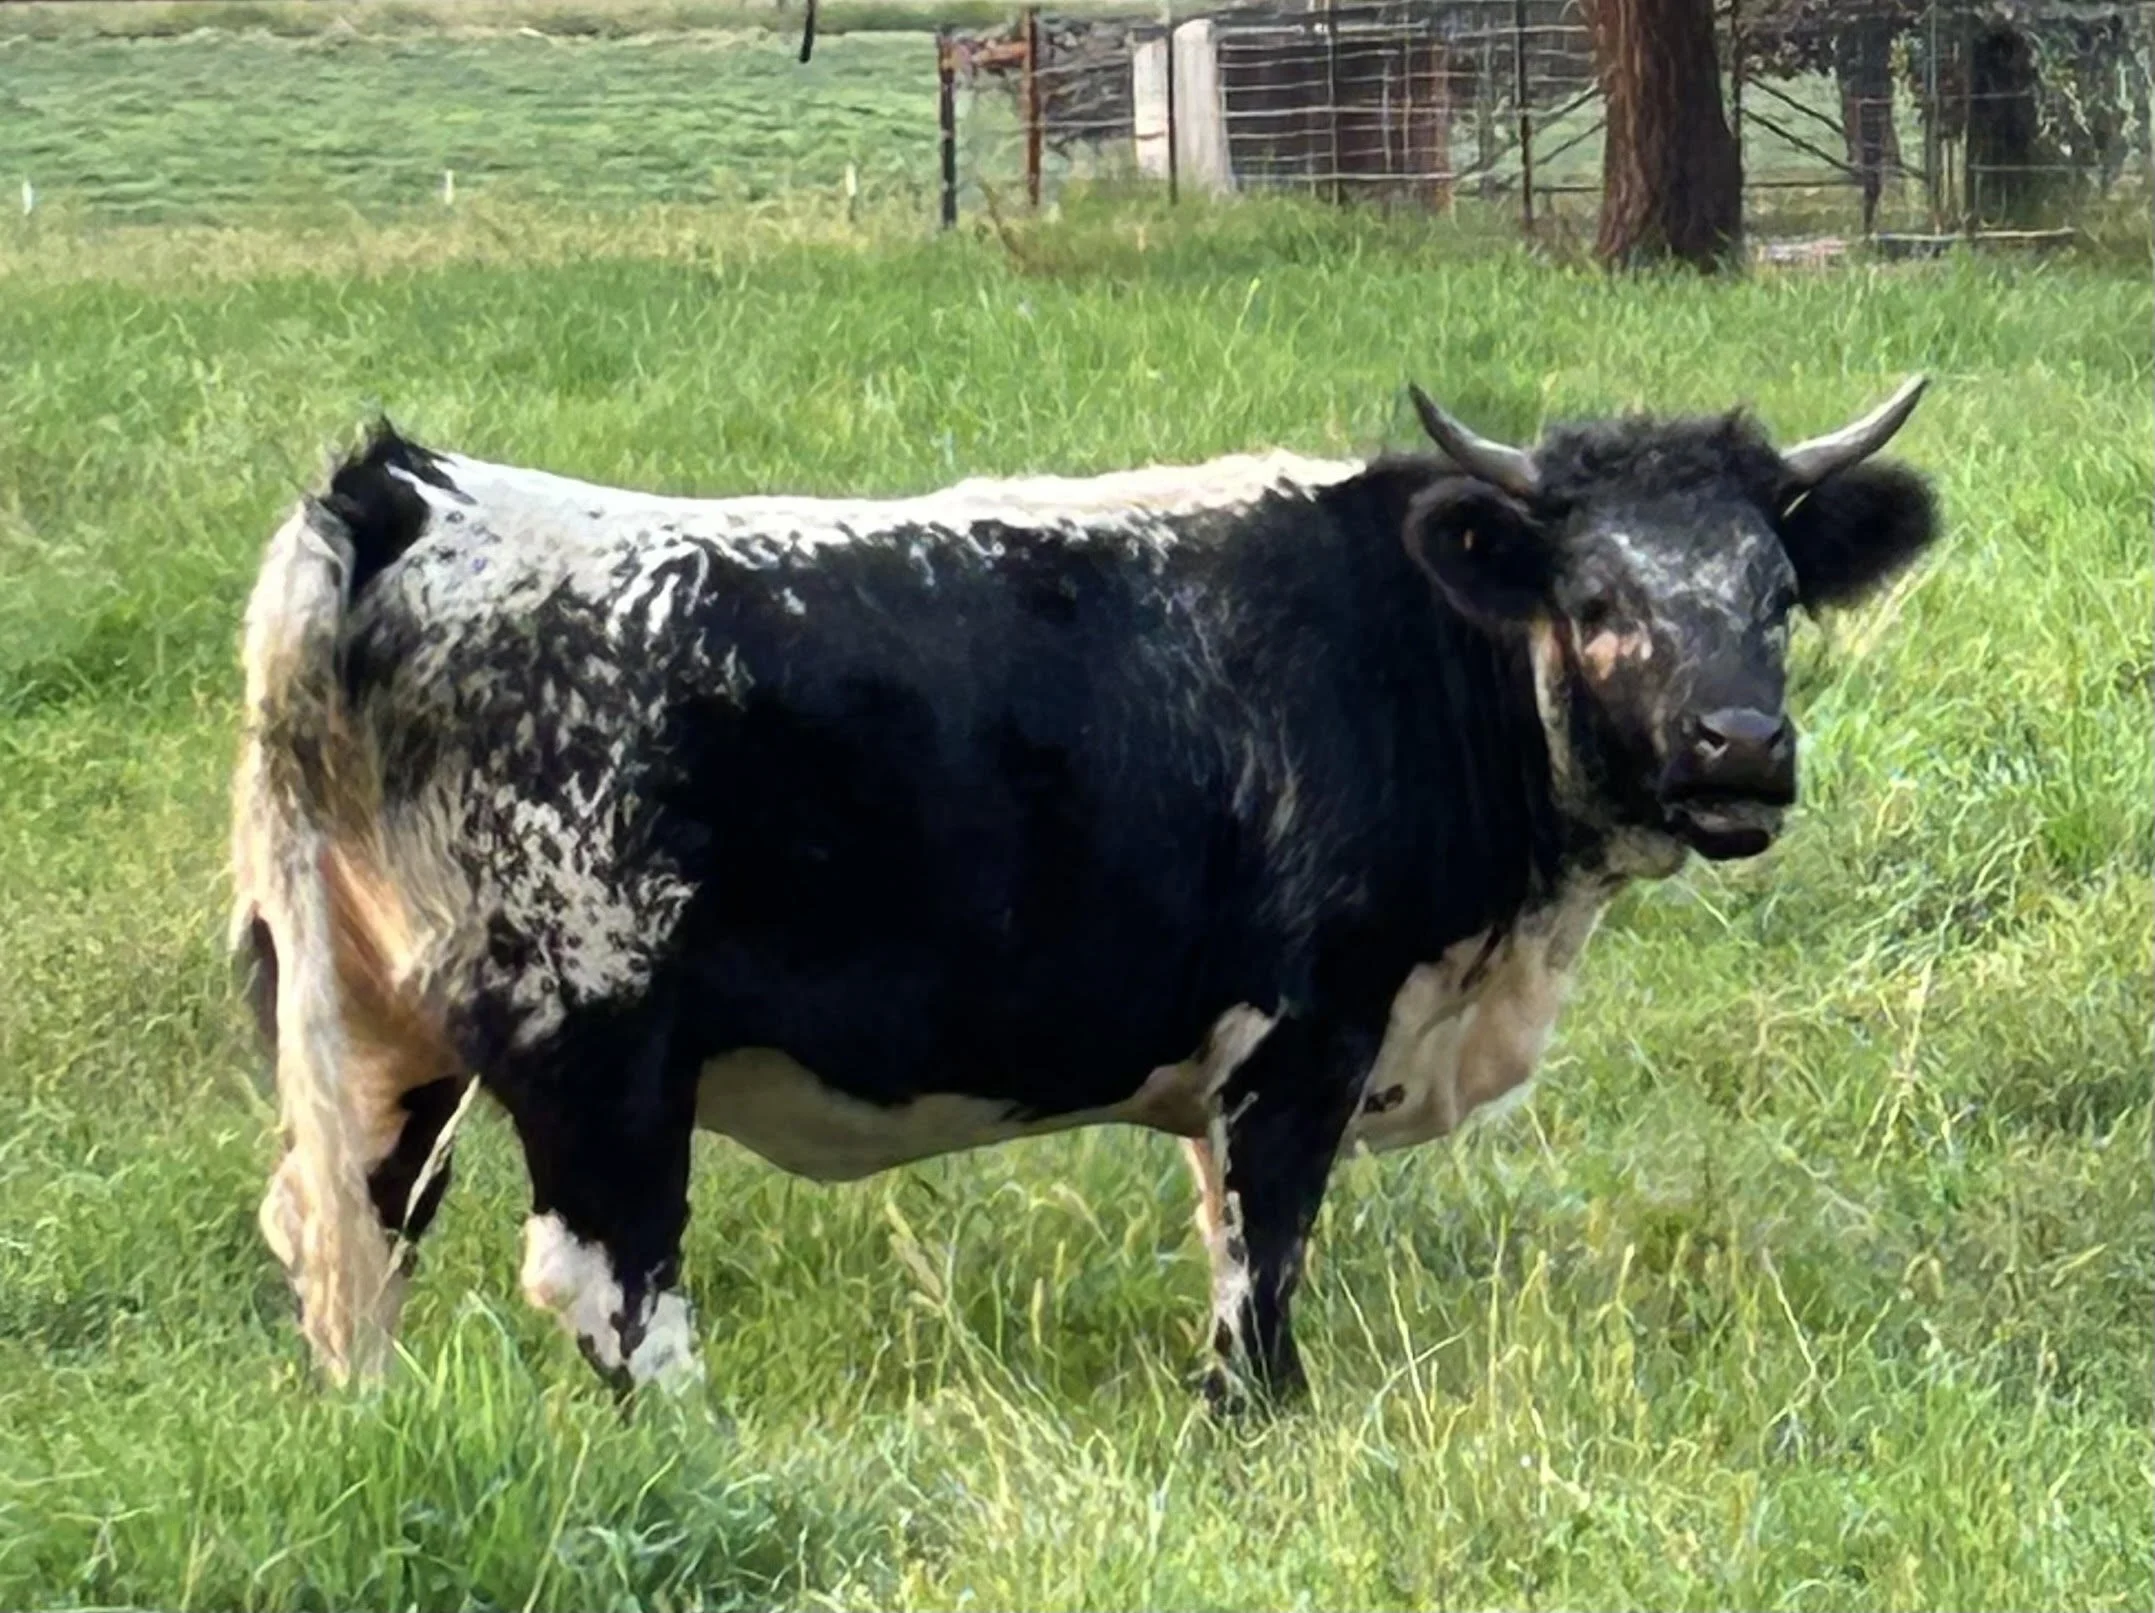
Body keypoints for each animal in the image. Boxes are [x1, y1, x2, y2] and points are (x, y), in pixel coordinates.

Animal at [230, 378, 1940, 1405]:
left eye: (1776, 595)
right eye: (1591, 599)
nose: (1739, 748)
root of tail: (407, 493)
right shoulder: (1308, 1028)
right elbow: (1263, 1245)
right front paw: (1255, 1413)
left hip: (385, 1041)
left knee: (344, 1237)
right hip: (598, 1050)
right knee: (607, 1285)